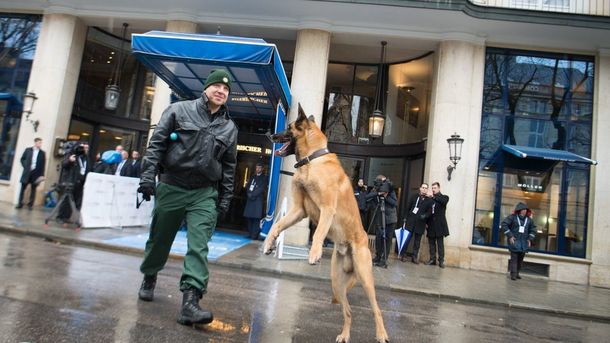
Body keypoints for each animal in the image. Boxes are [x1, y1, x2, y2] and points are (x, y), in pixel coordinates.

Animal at [262, 105, 388, 343]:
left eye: (288, 127)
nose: (269, 135)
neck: (311, 160)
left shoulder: (327, 209)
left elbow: (319, 232)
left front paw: (314, 254)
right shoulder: (298, 210)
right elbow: (277, 225)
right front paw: (268, 243)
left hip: (365, 279)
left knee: (376, 308)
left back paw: (382, 334)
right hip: (336, 283)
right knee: (348, 311)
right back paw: (345, 335)